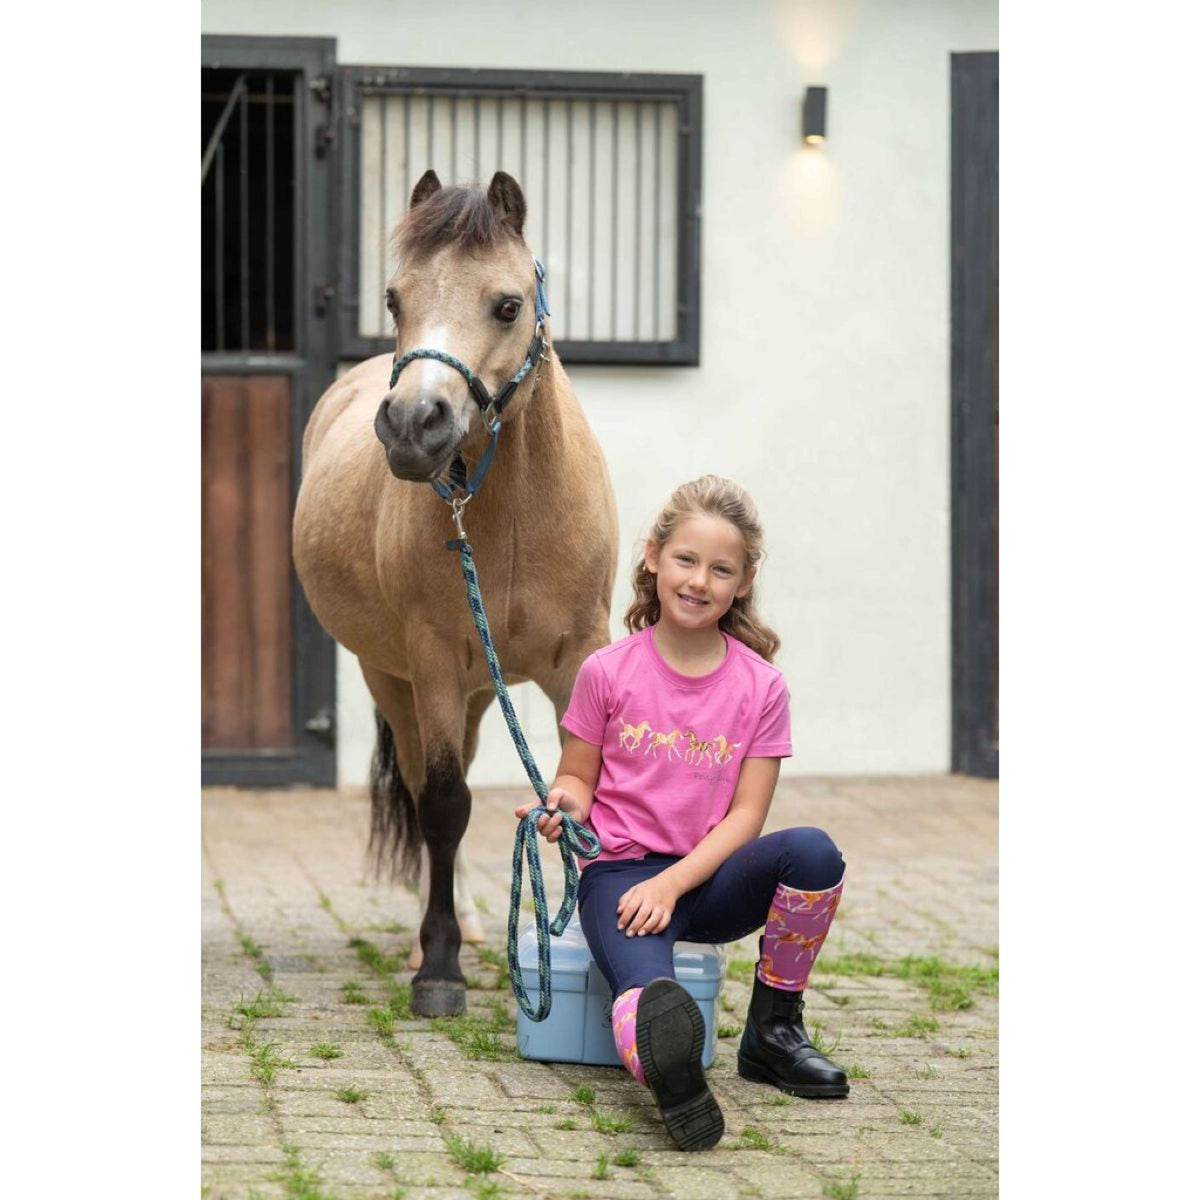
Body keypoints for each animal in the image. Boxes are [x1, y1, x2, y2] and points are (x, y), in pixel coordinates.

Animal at [293, 170, 619, 1016]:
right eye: (393, 299)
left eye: (506, 304)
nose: (413, 427)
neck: (509, 515)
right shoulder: (435, 663)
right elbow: (442, 806)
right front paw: (437, 969)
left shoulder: (578, 661)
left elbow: (586, 793)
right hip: (397, 679)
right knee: (424, 788)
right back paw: (441, 933)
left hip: (477, 691)